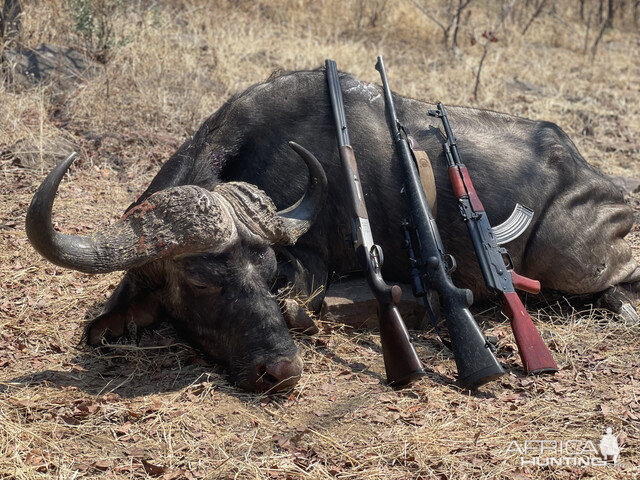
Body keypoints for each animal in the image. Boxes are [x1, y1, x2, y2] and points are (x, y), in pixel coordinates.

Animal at [26, 68, 640, 390]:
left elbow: (312, 300)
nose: (281, 369)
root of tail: (602, 183)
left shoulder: (312, 267)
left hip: (571, 259)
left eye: (267, 276)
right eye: (201, 282)